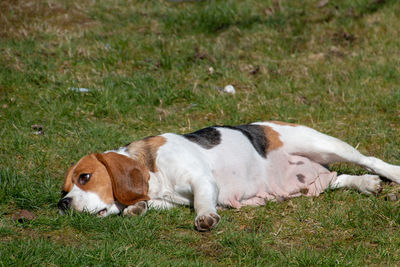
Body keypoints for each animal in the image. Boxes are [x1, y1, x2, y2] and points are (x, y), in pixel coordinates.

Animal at [58, 122, 400, 231]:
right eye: (63, 189)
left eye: (85, 177)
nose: (62, 205)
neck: (152, 171)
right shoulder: (169, 200)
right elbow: (149, 205)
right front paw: (136, 208)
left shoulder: (201, 181)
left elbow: (202, 202)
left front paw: (206, 217)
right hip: (315, 179)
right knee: (337, 179)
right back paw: (364, 184)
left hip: (323, 144)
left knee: (368, 160)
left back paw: (390, 173)